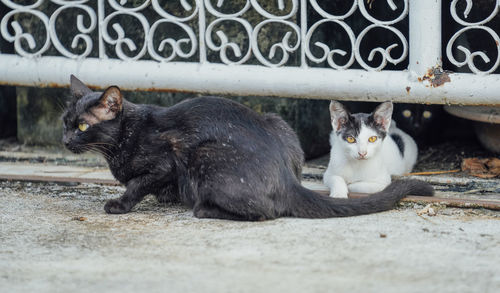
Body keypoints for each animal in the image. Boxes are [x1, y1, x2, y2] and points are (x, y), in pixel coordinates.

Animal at [60, 75, 432, 219]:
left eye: (83, 126)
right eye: (65, 122)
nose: (64, 140)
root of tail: (287, 180)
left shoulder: (165, 160)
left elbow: (137, 184)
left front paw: (120, 204)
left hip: (203, 155)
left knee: (264, 211)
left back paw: (203, 209)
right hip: (277, 121)